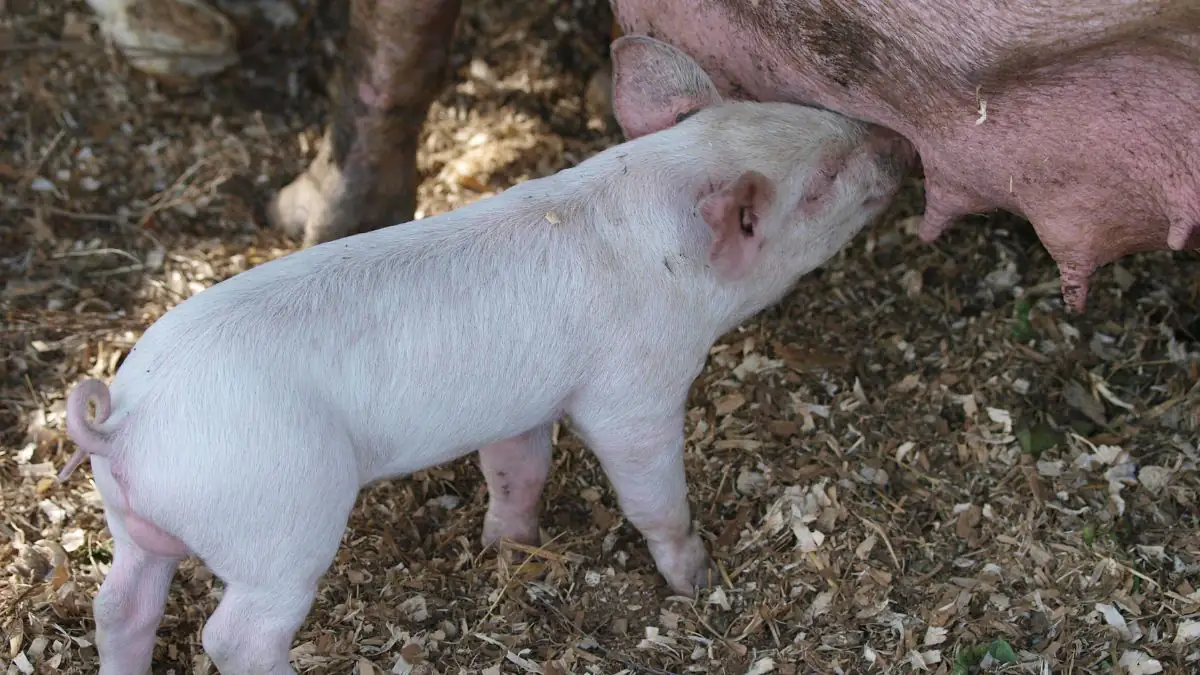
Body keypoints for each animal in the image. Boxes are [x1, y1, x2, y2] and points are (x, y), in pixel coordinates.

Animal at [57, 36, 911, 674]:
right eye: (820, 183)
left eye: (797, 109)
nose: (901, 145)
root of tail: (126, 417)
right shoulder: (632, 388)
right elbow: (649, 488)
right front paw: (693, 578)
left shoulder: (521, 402)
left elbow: (515, 468)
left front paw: (510, 545)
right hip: (278, 516)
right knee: (230, 635)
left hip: (133, 521)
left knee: (118, 604)